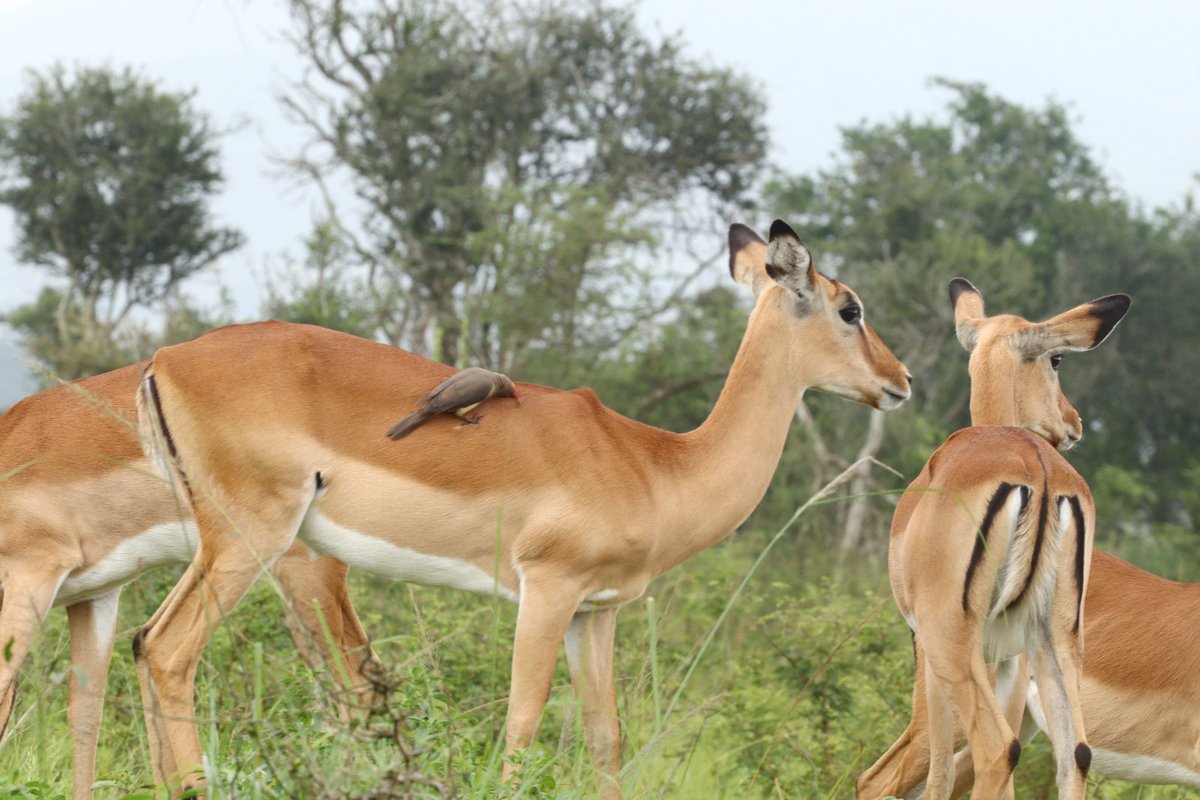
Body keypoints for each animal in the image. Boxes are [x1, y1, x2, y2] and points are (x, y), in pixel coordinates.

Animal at [127, 220, 911, 797]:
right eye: (850, 307)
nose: (900, 379)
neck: (654, 464)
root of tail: (162, 361)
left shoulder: (597, 611)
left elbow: (605, 736)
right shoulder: (547, 589)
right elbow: (522, 725)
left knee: (142, 644)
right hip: (248, 538)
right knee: (167, 650)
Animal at [858, 279, 1130, 799]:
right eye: (1056, 359)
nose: (1073, 422)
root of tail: (1039, 471)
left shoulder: (933, 649)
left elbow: (938, 774)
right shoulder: (1007, 656)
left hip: (951, 643)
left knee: (990, 750)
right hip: (1055, 639)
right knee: (1076, 753)